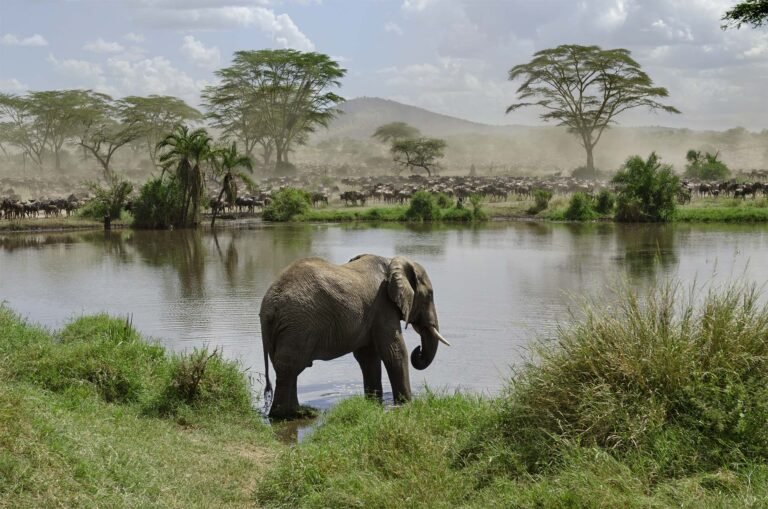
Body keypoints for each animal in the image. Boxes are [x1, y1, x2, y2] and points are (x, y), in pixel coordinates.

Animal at [260, 253, 449, 419]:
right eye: (430, 295)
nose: (419, 350)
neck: (392, 261)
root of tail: (269, 306)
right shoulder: (383, 305)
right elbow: (395, 352)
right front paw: (406, 405)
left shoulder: (372, 312)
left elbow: (368, 357)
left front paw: (374, 403)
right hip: (298, 324)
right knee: (290, 366)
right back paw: (288, 415)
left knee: (286, 368)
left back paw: (298, 412)